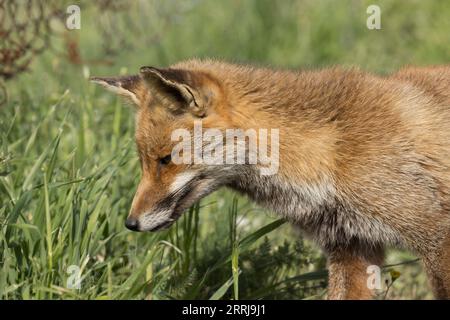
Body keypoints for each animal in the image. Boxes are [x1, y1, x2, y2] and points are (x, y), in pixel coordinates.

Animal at [91, 60, 450, 300]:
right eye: (143, 161)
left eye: (166, 159)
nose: (131, 223)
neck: (331, 149)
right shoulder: (352, 247)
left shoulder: (436, 237)